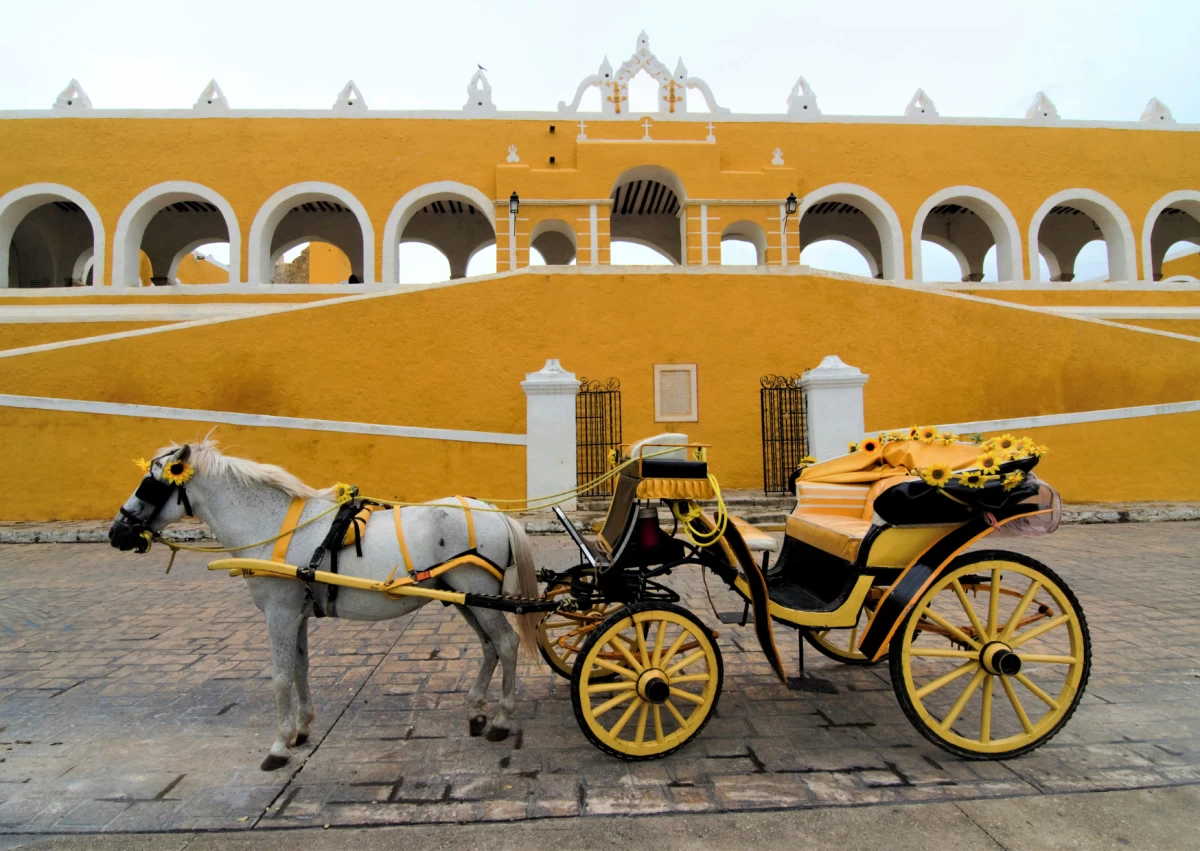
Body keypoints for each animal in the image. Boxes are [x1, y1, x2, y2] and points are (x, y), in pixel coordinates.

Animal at [108, 439, 540, 768]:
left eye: (148, 484)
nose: (117, 532)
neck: (272, 525)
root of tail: (496, 513)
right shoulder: (295, 614)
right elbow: (301, 669)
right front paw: (301, 729)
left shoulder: (279, 613)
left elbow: (281, 677)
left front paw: (279, 745)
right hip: (464, 596)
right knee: (489, 646)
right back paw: (477, 710)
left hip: (477, 594)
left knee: (506, 644)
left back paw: (502, 720)